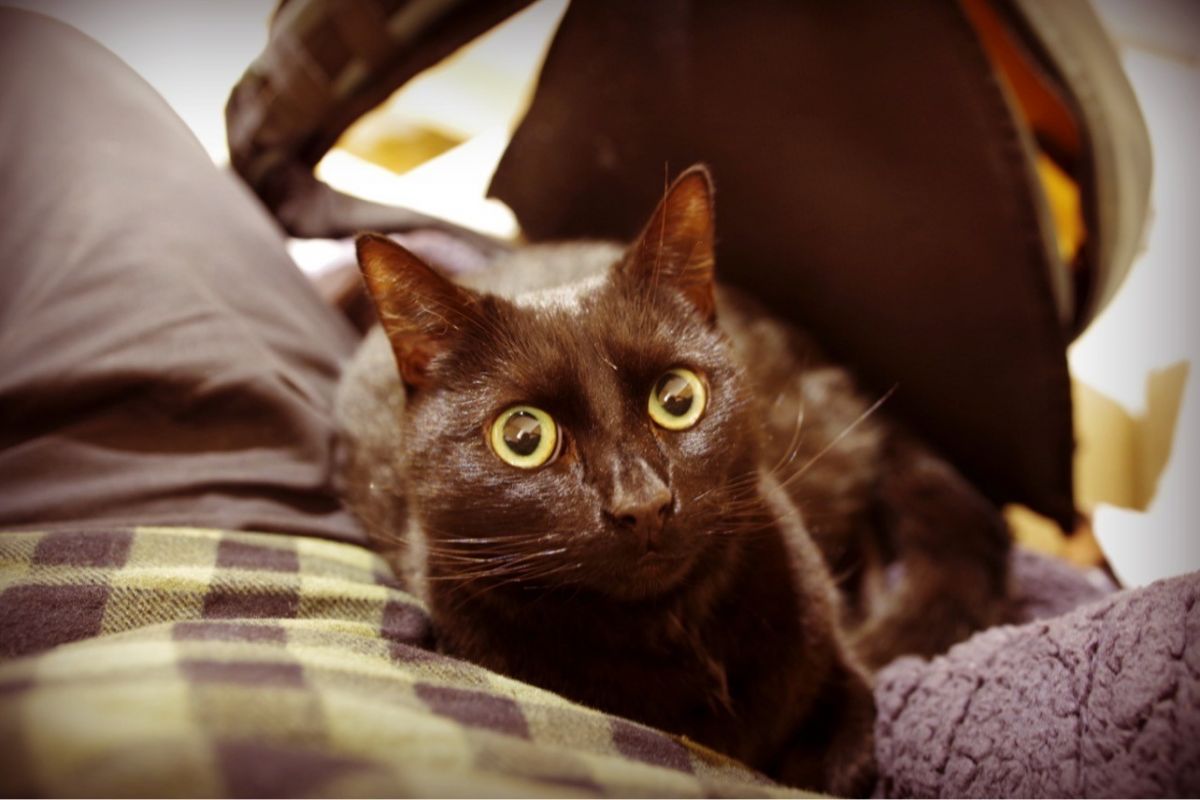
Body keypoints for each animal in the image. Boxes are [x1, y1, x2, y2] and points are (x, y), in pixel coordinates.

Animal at [336, 164, 1012, 796]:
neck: (680, 633)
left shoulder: (838, 673)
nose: (643, 503)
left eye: (678, 398)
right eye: (523, 437)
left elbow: (842, 757)